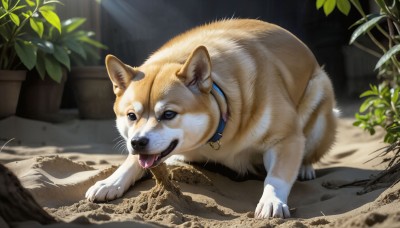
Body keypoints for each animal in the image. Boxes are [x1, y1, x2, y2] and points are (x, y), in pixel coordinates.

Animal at [86, 18, 336, 218]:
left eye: (168, 114)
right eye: (131, 115)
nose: (138, 142)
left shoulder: (286, 137)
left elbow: (276, 177)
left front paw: (272, 200)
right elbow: (131, 162)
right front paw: (111, 182)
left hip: (319, 97)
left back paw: (305, 168)